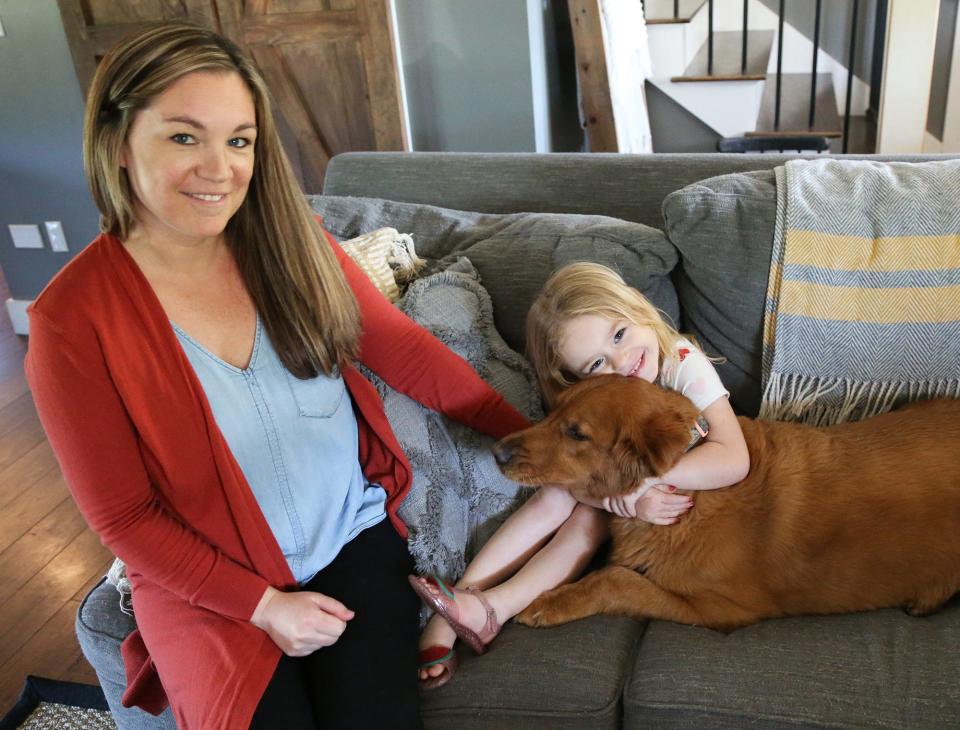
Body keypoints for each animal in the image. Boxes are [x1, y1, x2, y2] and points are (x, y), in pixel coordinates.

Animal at [492, 372, 960, 628]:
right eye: (553, 410)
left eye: (576, 433)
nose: (496, 452)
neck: (691, 493)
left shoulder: (717, 608)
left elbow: (616, 579)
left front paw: (551, 601)